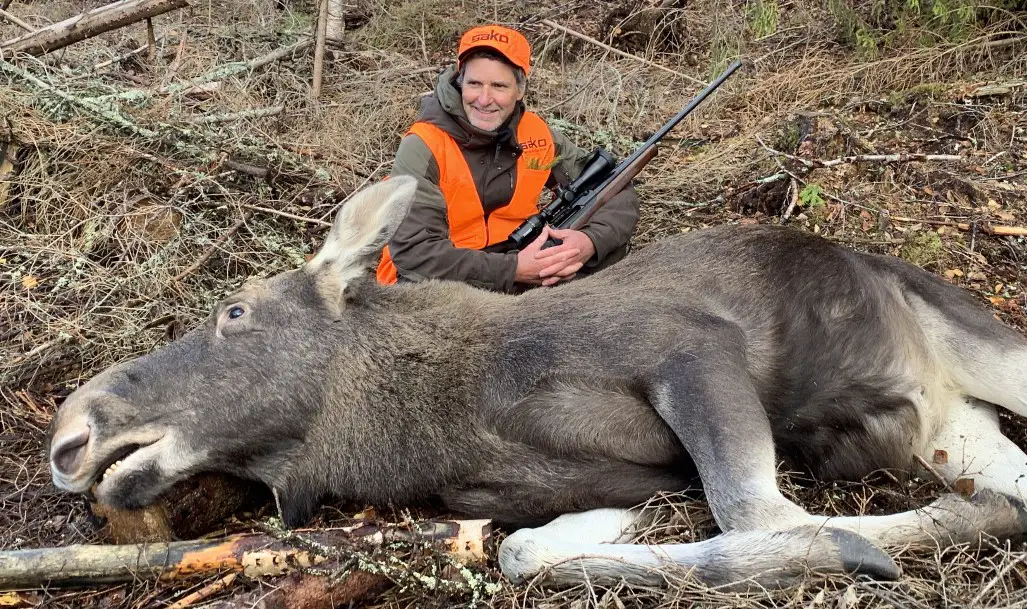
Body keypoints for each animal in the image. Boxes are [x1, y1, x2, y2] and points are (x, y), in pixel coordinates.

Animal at [47, 176, 1027, 588]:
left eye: (236, 311)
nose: (71, 431)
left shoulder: (689, 347)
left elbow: (758, 513)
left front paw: (884, 544)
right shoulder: (513, 497)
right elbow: (521, 549)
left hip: (987, 346)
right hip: (952, 427)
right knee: (1007, 474)